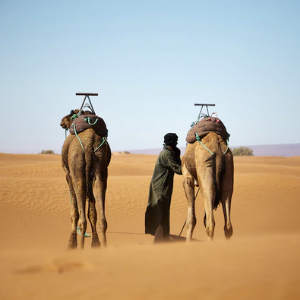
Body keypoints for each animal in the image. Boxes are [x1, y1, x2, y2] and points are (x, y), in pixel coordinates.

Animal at [60, 109, 111, 248]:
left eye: (69, 115)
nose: (61, 122)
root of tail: (89, 143)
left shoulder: (68, 175)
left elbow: (74, 210)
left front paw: (71, 243)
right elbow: (92, 212)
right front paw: (96, 243)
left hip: (77, 168)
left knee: (82, 217)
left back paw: (80, 247)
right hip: (100, 167)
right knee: (102, 217)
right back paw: (104, 246)